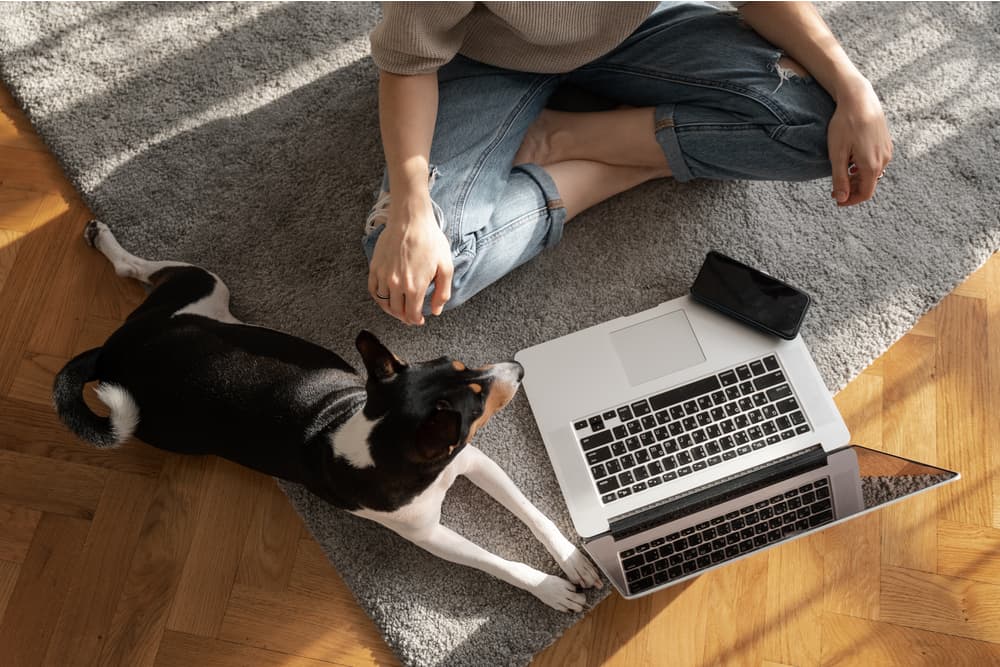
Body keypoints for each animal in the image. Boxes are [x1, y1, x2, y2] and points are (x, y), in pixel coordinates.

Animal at [56, 222, 600, 612]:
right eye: (478, 399)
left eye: (468, 370)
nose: (520, 368)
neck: (380, 442)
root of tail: (110, 355)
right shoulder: (430, 535)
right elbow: (498, 564)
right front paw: (551, 589)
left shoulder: (472, 461)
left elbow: (534, 514)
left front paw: (576, 562)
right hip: (167, 403)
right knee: (137, 270)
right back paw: (105, 241)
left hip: (205, 289)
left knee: (141, 271)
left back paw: (103, 240)